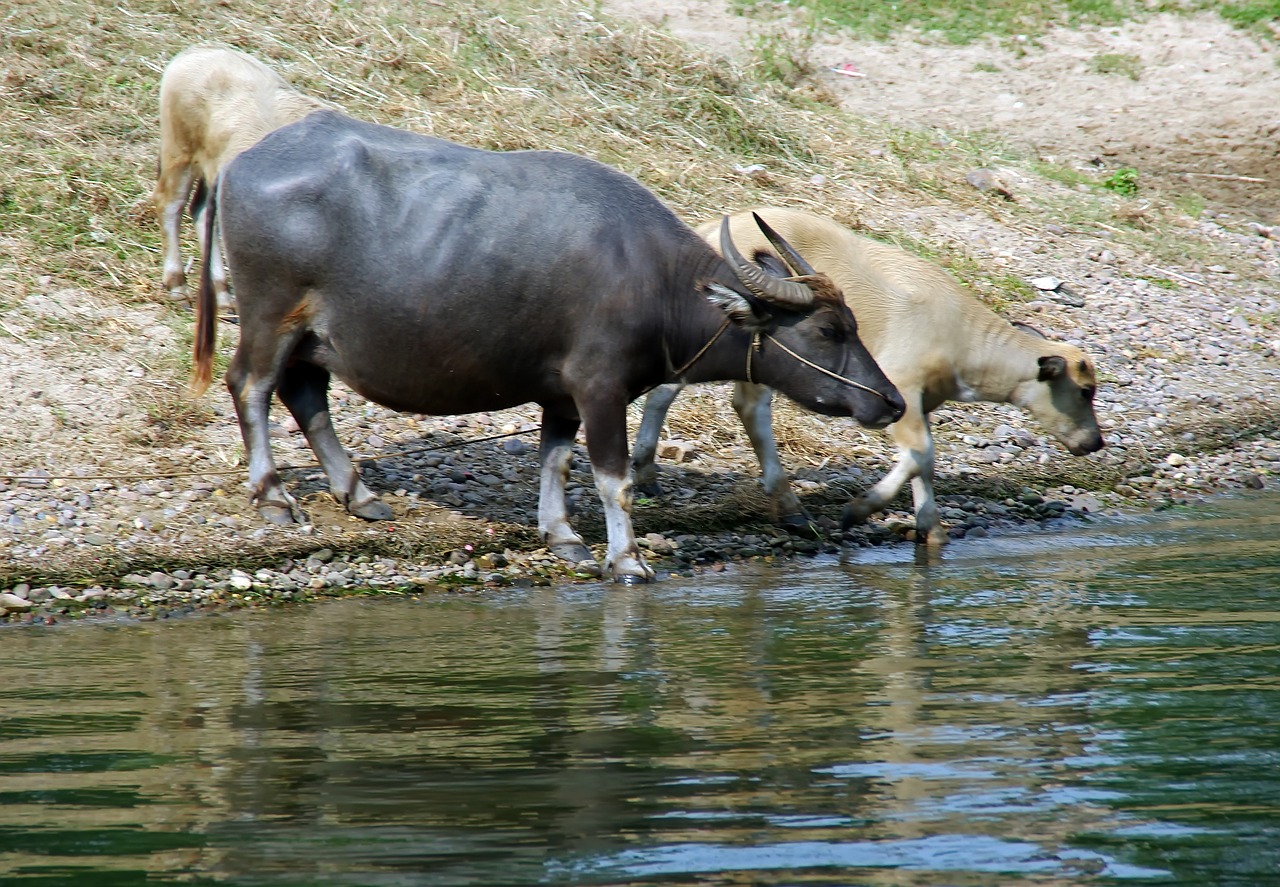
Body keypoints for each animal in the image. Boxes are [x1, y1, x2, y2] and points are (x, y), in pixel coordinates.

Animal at [194, 110, 906, 581]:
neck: (654, 281)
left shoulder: (562, 396)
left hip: (314, 337)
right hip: (269, 315)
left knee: (304, 392)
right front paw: (628, 560)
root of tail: (241, 163)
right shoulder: (600, 389)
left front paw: (562, 535)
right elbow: (614, 480)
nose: (893, 402)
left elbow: (557, 462)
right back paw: (274, 498)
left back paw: (359, 494)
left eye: (853, 324)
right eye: (827, 331)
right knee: (252, 385)